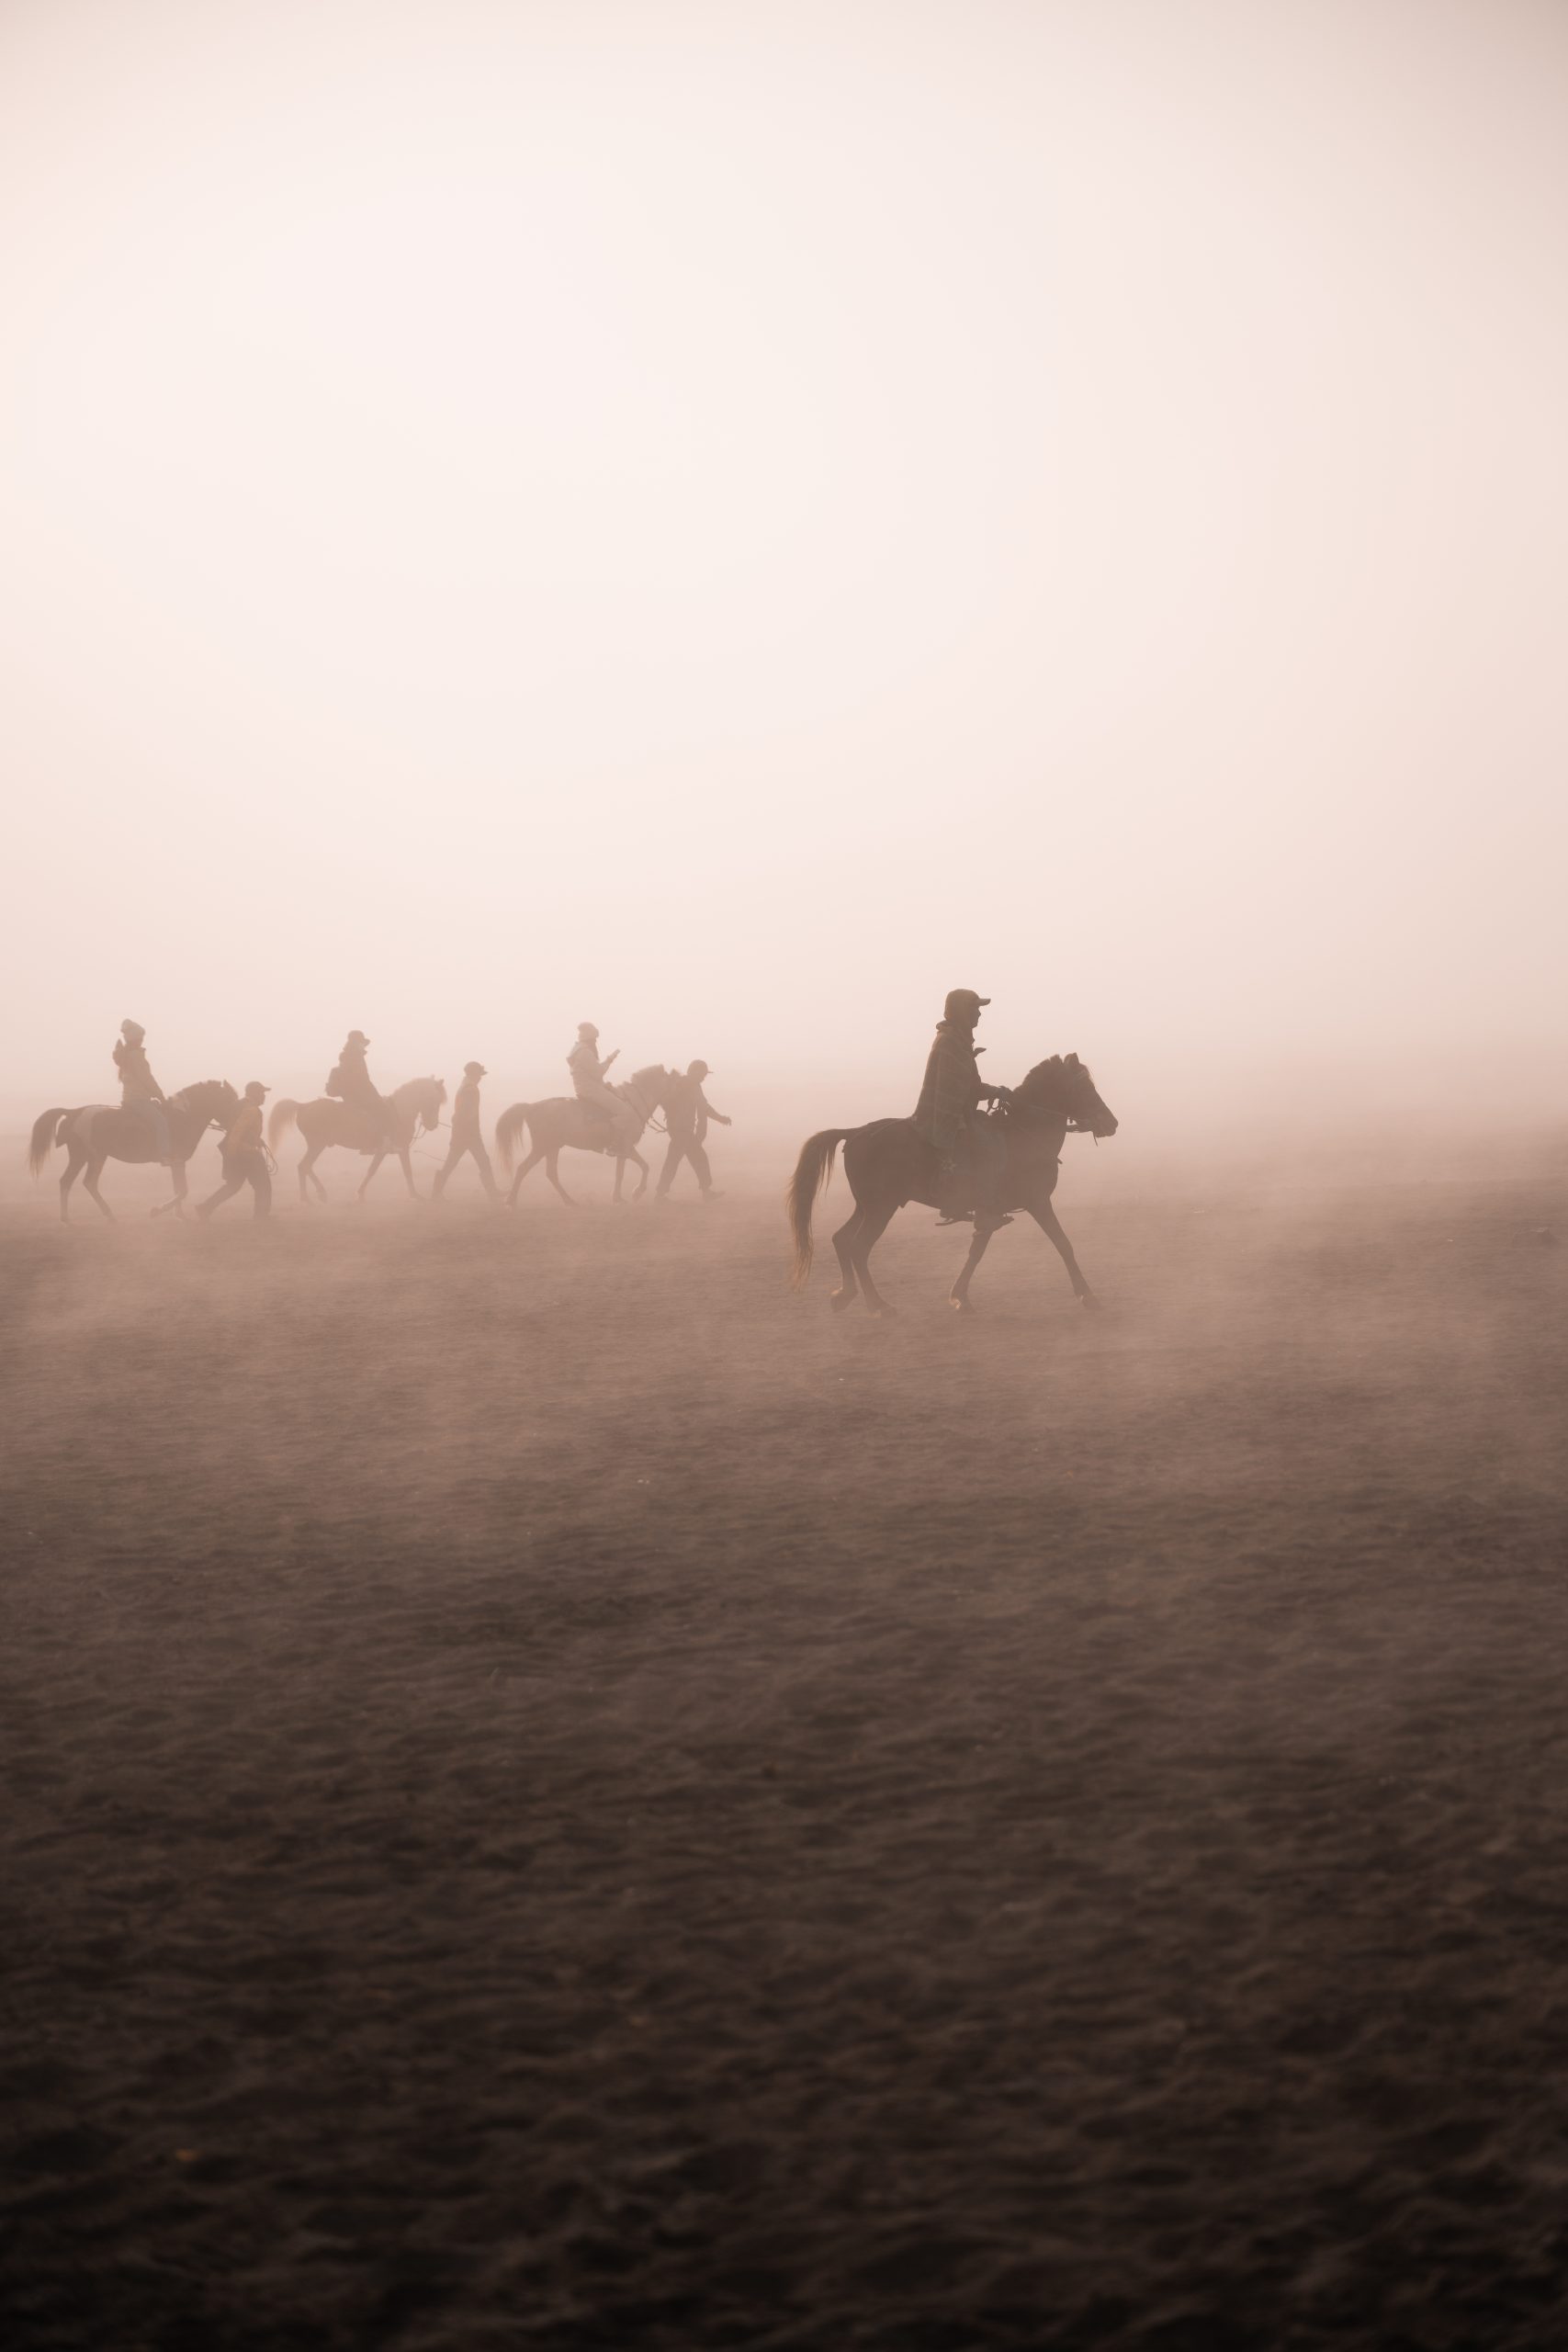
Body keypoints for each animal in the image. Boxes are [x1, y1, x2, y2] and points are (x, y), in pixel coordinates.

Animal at [27, 1086, 240, 1232]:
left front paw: (180, 1215)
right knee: (76, 1182)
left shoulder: (177, 1163)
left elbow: (179, 1189)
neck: (181, 1117)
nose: (234, 1125)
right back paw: (74, 1218)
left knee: (80, 1182)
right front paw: (158, 1210)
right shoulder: (178, 1160)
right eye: (230, 1101)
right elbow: (182, 1191)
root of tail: (74, 1112)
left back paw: (99, 1216)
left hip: (91, 1157)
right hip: (87, 1156)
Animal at [270, 1077, 446, 1204]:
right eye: (434, 1100)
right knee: (304, 1166)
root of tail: (303, 1106)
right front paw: (415, 1195)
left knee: (306, 1167)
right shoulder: (400, 1149)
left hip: (317, 1145)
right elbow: (405, 1171)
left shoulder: (385, 1151)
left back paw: (318, 1194)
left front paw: (360, 1194)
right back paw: (308, 1197)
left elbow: (373, 1171)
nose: (433, 1125)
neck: (398, 1112)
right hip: (317, 1145)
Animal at [501, 1072, 677, 1213]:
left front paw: (624, 1196)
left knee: (551, 1174)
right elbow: (634, 1169)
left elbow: (631, 1170)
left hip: (552, 1147)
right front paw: (633, 1194)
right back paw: (511, 1202)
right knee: (523, 1169)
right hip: (542, 1147)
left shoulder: (624, 1149)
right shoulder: (626, 1147)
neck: (631, 1105)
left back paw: (570, 1202)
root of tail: (532, 1107)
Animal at [784, 1053, 1114, 1317]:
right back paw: (878, 1305)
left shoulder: (990, 1211)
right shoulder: (1037, 1202)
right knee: (858, 1247)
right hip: (880, 1209)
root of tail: (855, 1133)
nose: (1112, 1123)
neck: (1023, 1135)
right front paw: (1089, 1297)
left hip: (866, 1206)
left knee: (841, 1239)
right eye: (1084, 1088)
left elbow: (976, 1251)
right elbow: (1063, 1244)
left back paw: (845, 1295)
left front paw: (959, 1297)